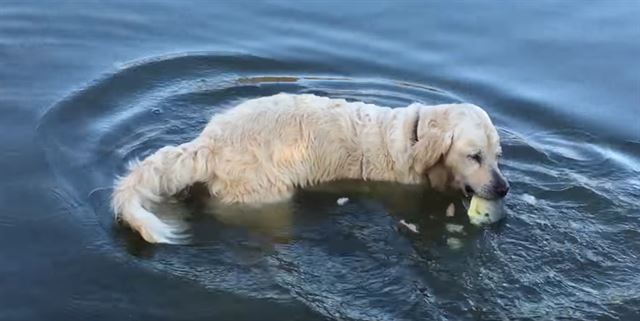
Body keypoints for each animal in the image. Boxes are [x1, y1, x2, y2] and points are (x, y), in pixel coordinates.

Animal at [111, 92, 510, 242]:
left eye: (498, 155)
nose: (504, 188)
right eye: (475, 155)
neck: (413, 138)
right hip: (268, 194)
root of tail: (209, 142)